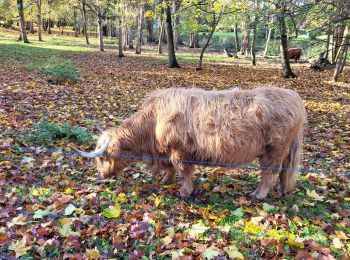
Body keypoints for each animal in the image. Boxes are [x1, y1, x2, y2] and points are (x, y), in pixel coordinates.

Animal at [78, 87, 306, 199]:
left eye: (103, 157)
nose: (102, 176)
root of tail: (294, 96)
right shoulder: (167, 151)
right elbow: (170, 168)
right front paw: (166, 180)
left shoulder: (179, 150)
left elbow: (183, 171)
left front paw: (185, 192)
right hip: (283, 150)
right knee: (284, 171)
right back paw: (283, 190)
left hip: (274, 149)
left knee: (270, 173)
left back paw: (258, 195)